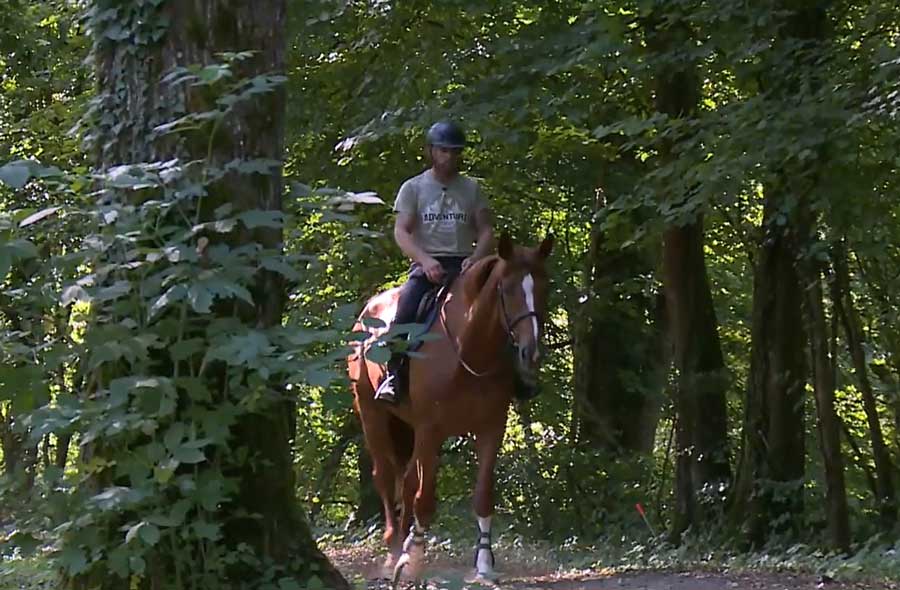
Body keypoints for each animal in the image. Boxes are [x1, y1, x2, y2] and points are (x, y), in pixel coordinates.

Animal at [347, 232, 553, 584]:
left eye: (543, 287)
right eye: (507, 289)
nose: (531, 352)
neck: (468, 351)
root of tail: (365, 316)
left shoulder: (491, 428)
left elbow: (482, 497)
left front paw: (484, 564)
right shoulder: (431, 429)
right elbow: (425, 500)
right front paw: (411, 560)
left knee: (406, 480)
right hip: (372, 415)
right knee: (386, 477)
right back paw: (393, 552)